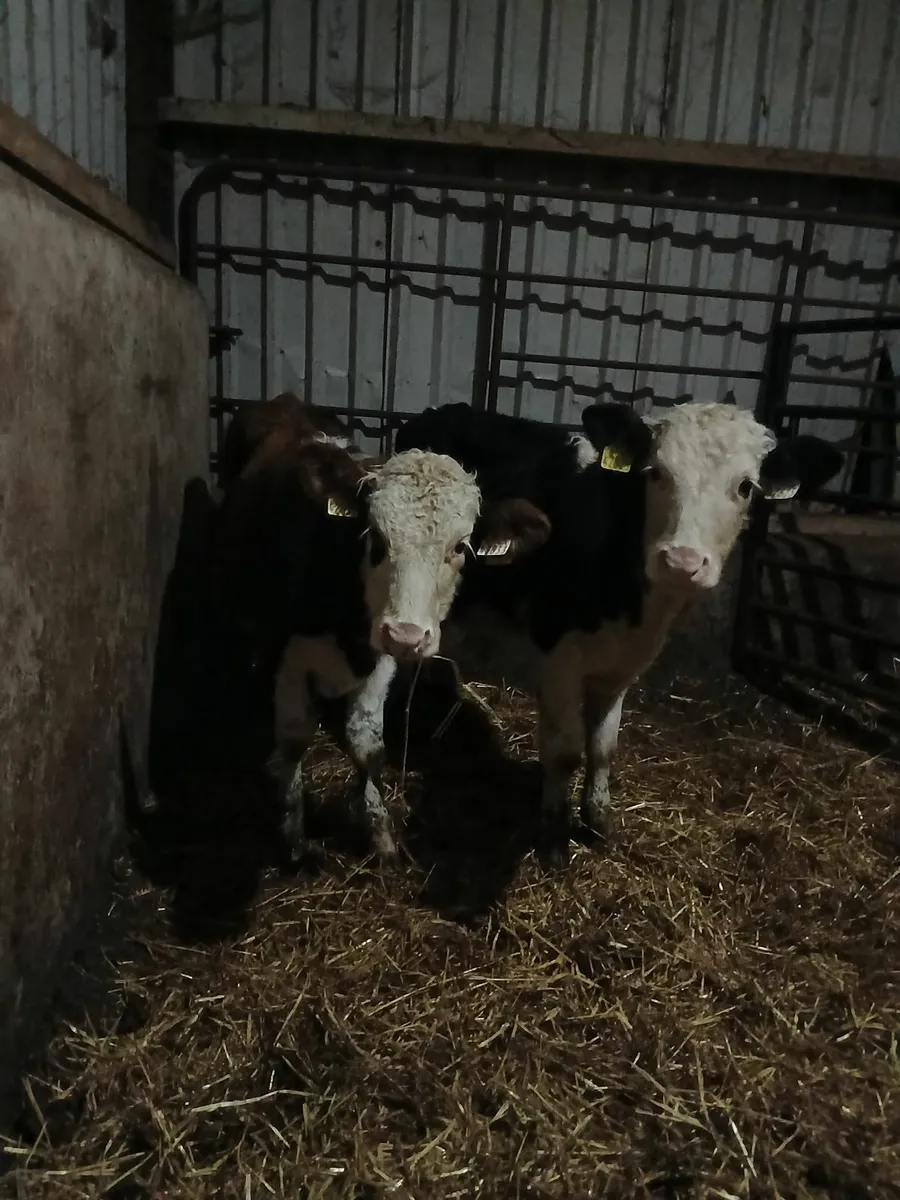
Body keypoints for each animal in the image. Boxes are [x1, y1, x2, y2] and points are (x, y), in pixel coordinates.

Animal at [214, 397, 550, 863]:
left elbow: (368, 746)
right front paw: (294, 838)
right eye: (374, 535)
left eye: (459, 547)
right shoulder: (286, 656)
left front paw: (380, 834)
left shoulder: (380, 662)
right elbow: (294, 741)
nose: (407, 635)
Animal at [394, 400, 845, 869]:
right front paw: (553, 837)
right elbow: (565, 750)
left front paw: (597, 821)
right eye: (656, 473)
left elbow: (603, 746)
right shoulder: (558, 654)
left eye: (745, 487)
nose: (681, 561)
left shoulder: (626, 661)